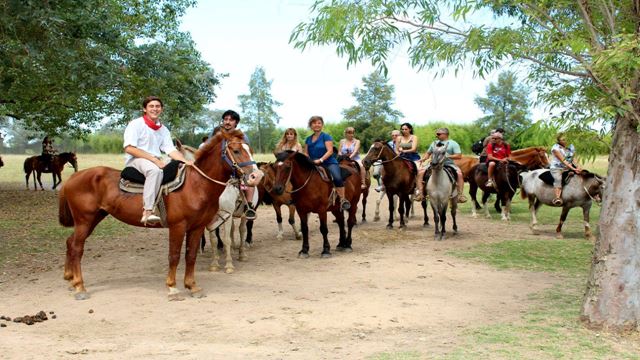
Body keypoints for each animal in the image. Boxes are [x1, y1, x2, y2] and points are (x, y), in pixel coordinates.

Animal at [57, 131, 262, 300]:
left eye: (250, 150)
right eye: (236, 150)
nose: (256, 176)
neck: (195, 185)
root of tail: (72, 178)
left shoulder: (197, 228)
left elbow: (191, 255)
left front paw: (192, 287)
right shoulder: (178, 226)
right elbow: (174, 256)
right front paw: (172, 288)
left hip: (93, 218)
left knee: (70, 242)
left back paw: (70, 279)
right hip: (84, 220)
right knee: (76, 247)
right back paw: (80, 287)